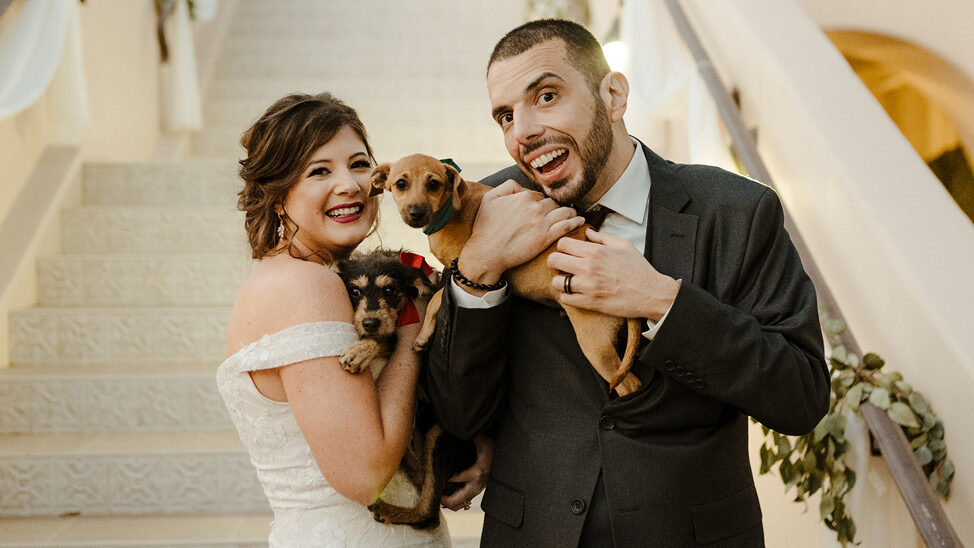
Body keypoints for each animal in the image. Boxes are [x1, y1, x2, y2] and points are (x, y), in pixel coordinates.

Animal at [332, 250, 476, 528]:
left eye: (389, 289)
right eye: (354, 291)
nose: (370, 322)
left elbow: (386, 338)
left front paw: (359, 352)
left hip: (439, 436)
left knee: (428, 514)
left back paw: (390, 510)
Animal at [370, 152, 644, 396]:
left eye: (434, 184)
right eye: (401, 184)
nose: (415, 212)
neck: (450, 210)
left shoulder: (460, 269)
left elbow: (437, 299)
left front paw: (423, 334)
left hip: (595, 345)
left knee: (631, 385)